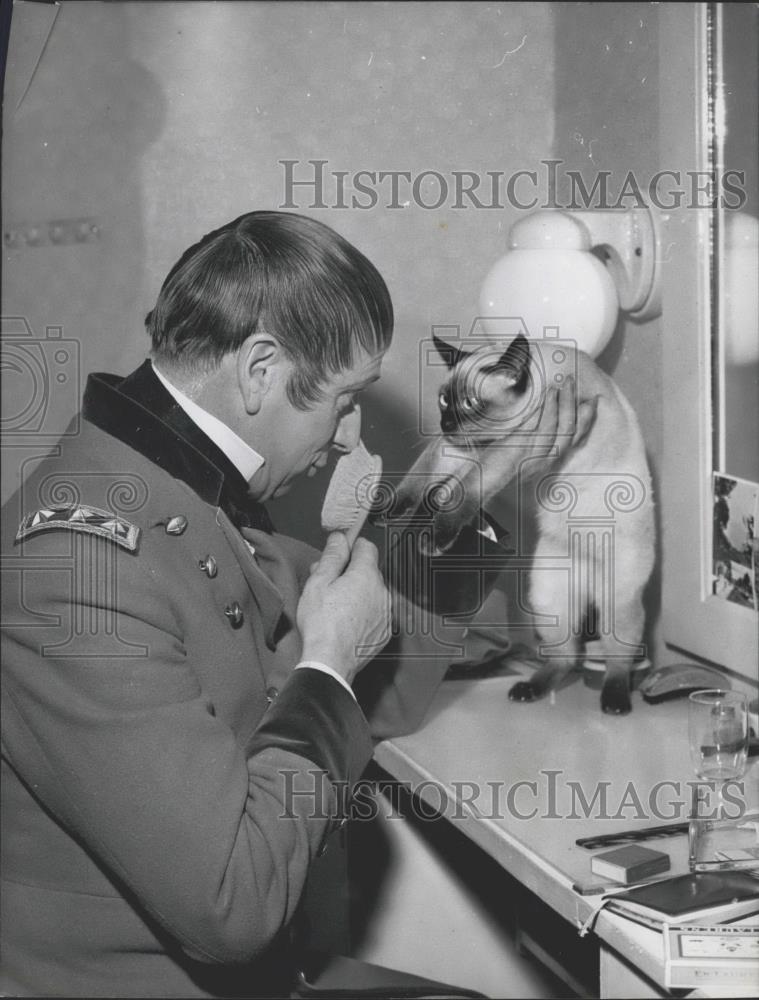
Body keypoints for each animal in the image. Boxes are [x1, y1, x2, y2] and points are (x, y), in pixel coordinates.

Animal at [388, 338, 656, 720]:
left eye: (470, 403)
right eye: (443, 400)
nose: (446, 421)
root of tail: (588, 579)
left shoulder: (508, 449)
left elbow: (465, 491)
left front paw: (436, 538)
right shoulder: (458, 447)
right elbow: (419, 474)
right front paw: (389, 508)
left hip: (616, 601)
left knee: (618, 656)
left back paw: (615, 701)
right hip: (549, 599)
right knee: (566, 657)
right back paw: (529, 689)